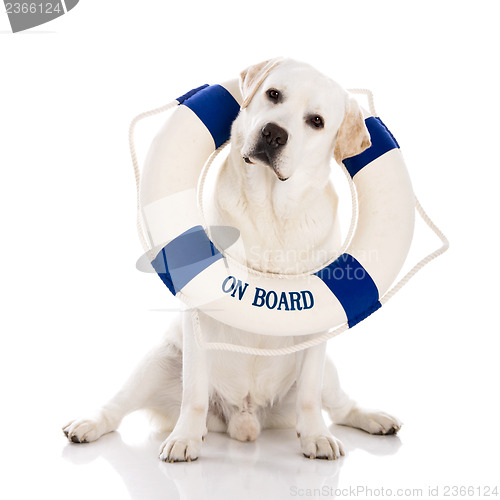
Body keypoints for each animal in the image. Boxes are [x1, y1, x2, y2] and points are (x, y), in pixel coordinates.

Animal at [64, 57, 402, 460]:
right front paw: (184, 438)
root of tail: (245, 416)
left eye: (316, 121)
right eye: (274, 94)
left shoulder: (318, 330)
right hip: (158, 362)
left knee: (339, 406)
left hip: (327, 375)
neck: (272, 209)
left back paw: (373, 419)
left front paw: (316, 437)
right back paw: (88, 425)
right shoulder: (198, 318)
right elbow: (193, 392)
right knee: (117, 407)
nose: (273, 134)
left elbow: (309, 396)